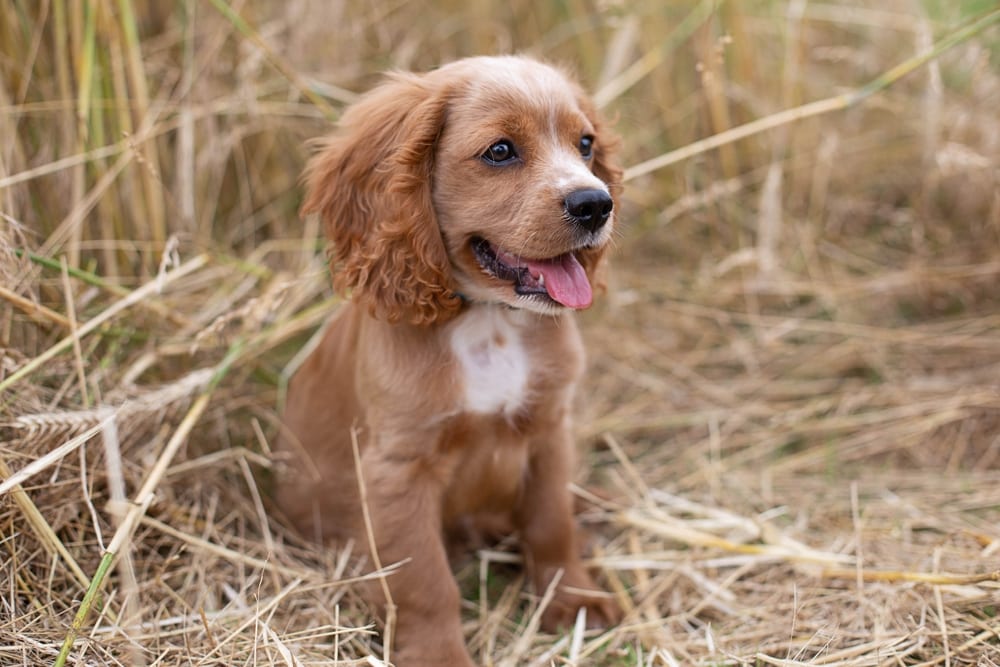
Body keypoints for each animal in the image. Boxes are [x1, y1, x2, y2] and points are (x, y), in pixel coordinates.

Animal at [278, 57, 620, 667]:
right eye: (500, 151)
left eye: (585, 144)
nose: (596, 204)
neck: (490, 322)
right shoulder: (399, 470)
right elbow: (425, 582)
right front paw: (439, 653)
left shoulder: (549, 429)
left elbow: (550, 524)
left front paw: (574, 599)